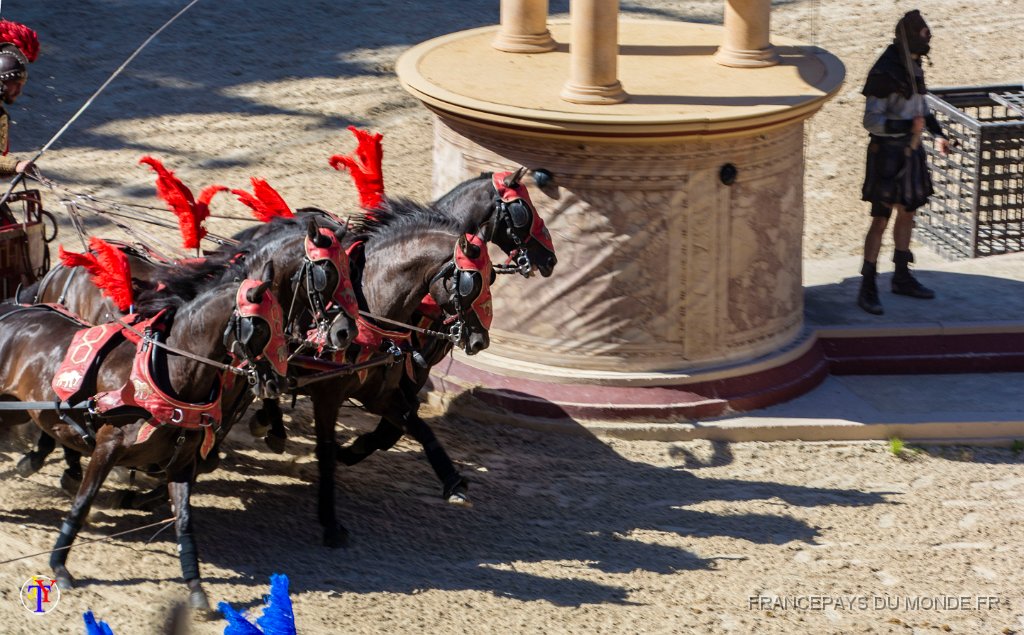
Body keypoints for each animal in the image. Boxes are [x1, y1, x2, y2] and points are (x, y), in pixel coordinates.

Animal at [0, 260, 284, 606]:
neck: (167, 376)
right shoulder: (107, 447)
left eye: (283, 324)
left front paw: (196, 588)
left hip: (17, 410)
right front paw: (60, 566)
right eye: (260, 328)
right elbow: (82, 503)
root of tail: (10, 313)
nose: (276, 383)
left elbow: (184, 521)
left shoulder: (182, 463)